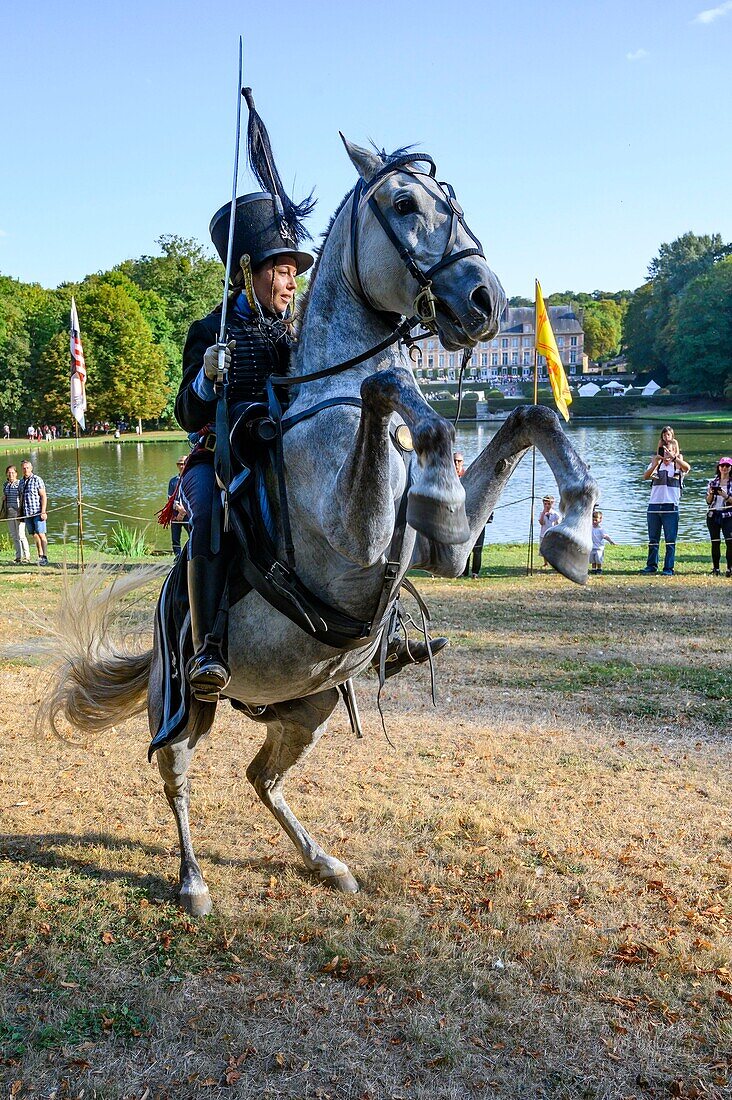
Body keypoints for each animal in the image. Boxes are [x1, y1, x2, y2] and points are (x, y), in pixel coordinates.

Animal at [42, 137, 598, 915]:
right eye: (403, 202)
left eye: (454, 199)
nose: (486, 300)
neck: (322, 400)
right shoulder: (356, 538)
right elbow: (385, 385)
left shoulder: (449, 548)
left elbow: (531, 415)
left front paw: (573, 527)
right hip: (184, 704)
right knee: (175, 775)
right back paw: (193, 881)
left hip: (308, 708)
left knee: (261, 778)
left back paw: (325, 862)